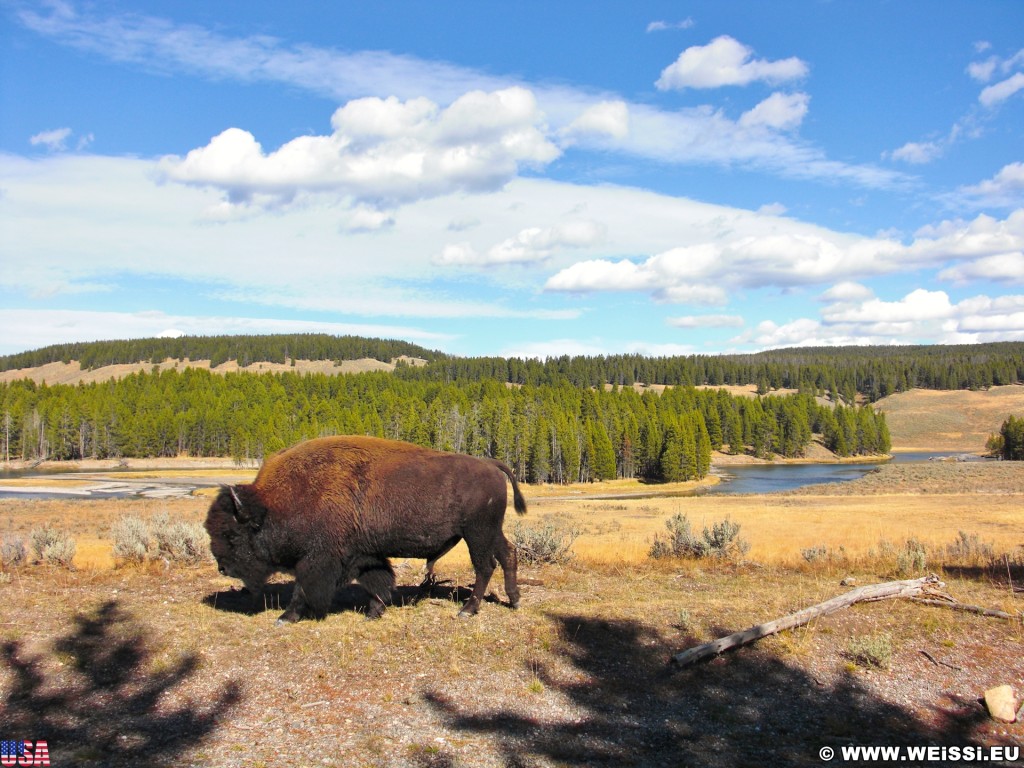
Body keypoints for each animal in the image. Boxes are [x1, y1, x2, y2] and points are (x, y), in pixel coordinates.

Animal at [206, 436, 528, 622]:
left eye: (232, 534)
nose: (223, 567)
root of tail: (489, 465)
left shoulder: (318, 558)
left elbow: (303, 587)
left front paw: (286, 616)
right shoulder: (364, 555)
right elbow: (378, 581)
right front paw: (374, 612)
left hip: (477, 534)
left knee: (485, 566)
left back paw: (467, 610)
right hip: (489, 532)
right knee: (508, 554)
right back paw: (514, 601)